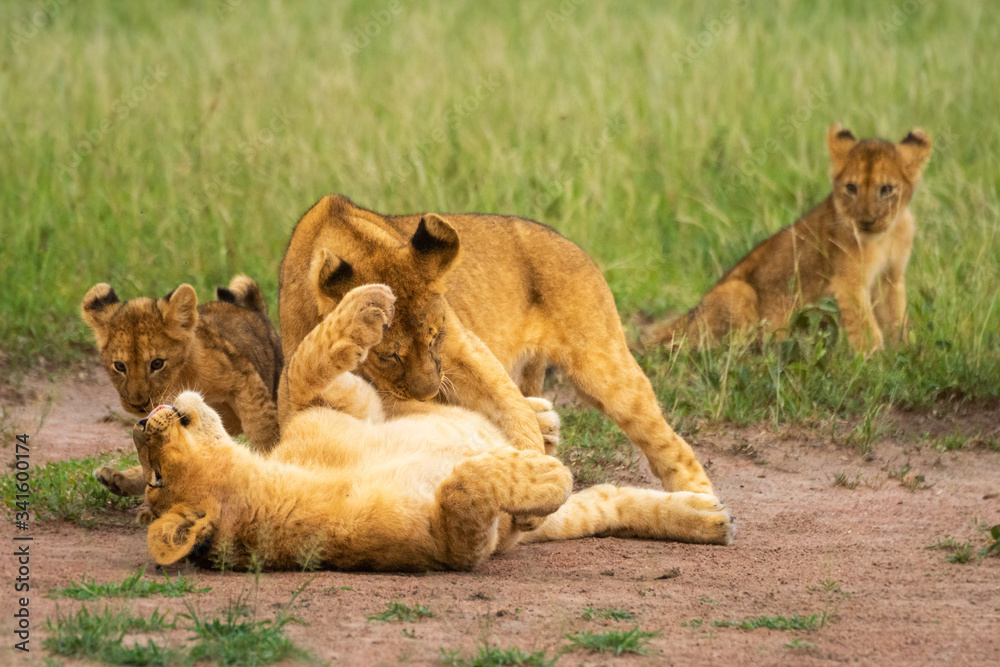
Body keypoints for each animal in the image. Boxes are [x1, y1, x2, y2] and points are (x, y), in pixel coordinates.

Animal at [82, 276, 283, 496]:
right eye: (119, 366)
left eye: (157, 364)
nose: (138, 405)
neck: (178, 381)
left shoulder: (245, 380)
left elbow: (262, 431)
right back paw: (117, 479)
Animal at [136, 285, 733, 572]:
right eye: (154, 479)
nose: (144, 421)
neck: (284, 477)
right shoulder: (455, 547)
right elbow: (462, 491)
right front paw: (540, 471)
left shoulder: (346, 409)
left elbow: (302, 368)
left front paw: (367, 304)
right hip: (540, 525)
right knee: (600, 501)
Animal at [278, 195, 714, 496]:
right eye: (388, 356)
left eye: (436, 335)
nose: (429, 392)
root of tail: (569, 243)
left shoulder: (464, 351)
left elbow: (510, 409)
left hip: (602, 365)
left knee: (663, 436)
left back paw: (700, 502)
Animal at [645, 124, 932, 356]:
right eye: (851, 188)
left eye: (887, 189)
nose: (866, 221)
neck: (884, 236)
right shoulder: (847, 282)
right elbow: (866, 327)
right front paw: (873, 362)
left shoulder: (890, 278)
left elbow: (896, 318)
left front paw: (903, 353)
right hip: (737, 291)